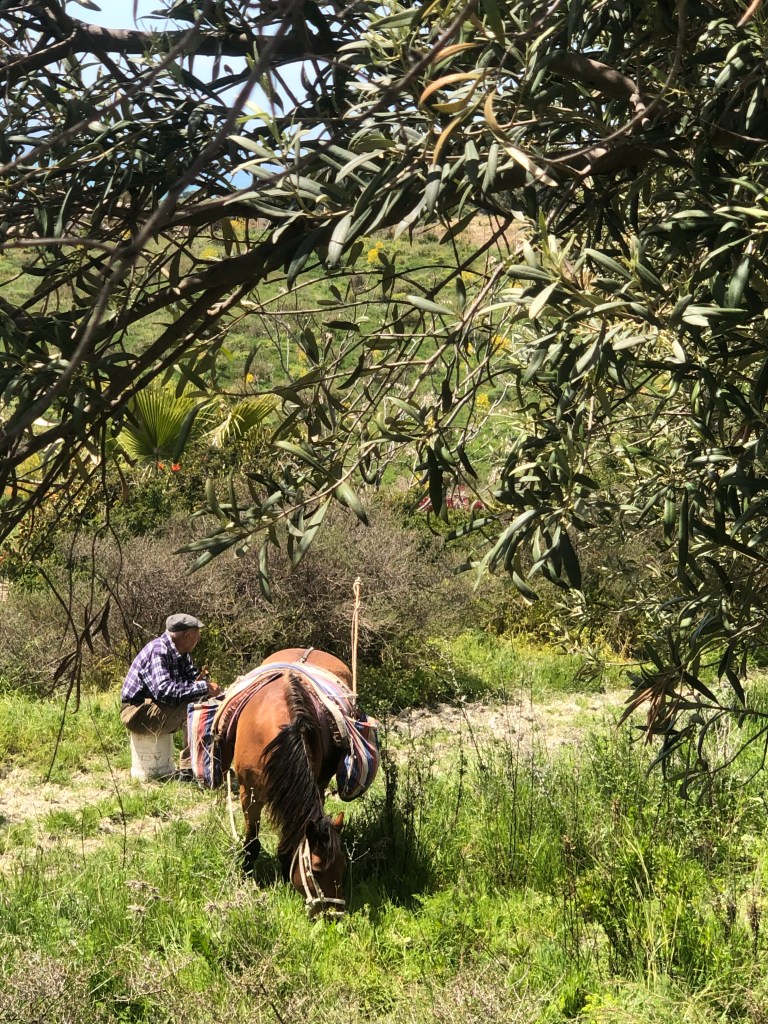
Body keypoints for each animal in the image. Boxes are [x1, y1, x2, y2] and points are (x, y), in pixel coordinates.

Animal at [232, 648, 350, 917]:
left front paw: (285, 874)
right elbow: (251, 842)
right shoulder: (248, 794)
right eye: (316, 870)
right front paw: (246, 875)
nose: (334, 915)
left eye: (343, 866)